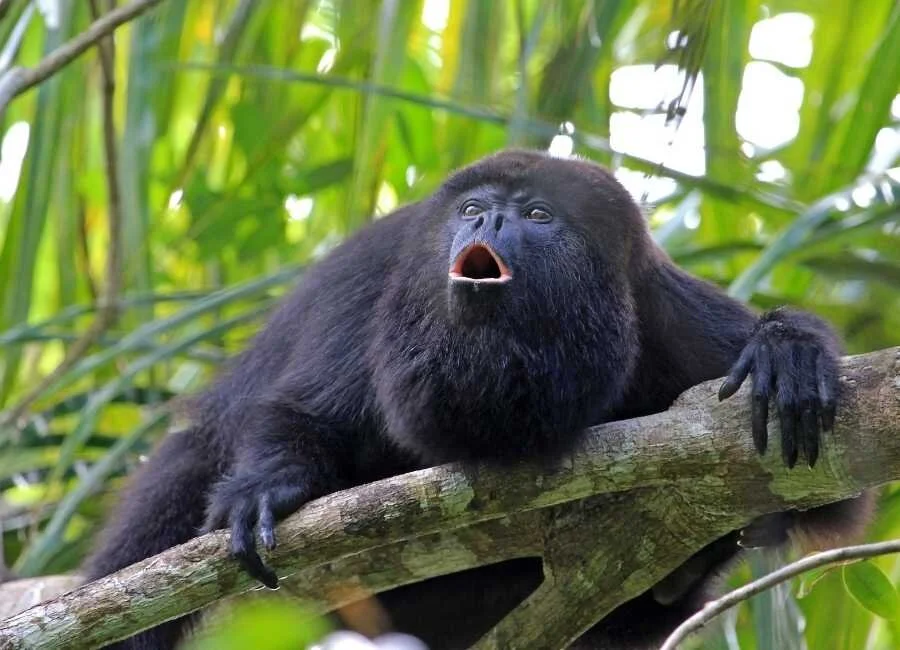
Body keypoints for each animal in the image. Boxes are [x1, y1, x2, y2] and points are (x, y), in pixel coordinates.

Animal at [84, 149, 872, 649]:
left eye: (537, 213)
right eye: (471, 207)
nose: (486, 222)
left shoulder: (664, 311)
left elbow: (829, 496)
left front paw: (785, 351)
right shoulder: (380, 276)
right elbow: (305, 412)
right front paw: (266, 486)